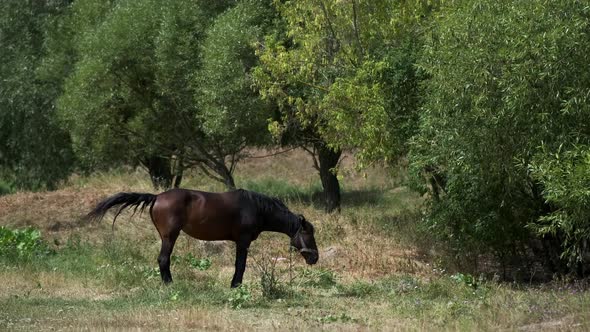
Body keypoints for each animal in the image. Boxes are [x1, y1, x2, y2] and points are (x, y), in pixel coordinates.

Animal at [85, 189, 320, 288]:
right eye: (308, 233)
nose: (315, 258)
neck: (255, 207)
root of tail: (157, 197)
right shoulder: (243, 241)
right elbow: (240, 265)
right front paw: (235, 285)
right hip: (170, 236)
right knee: (163, 259)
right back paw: (169, 284)